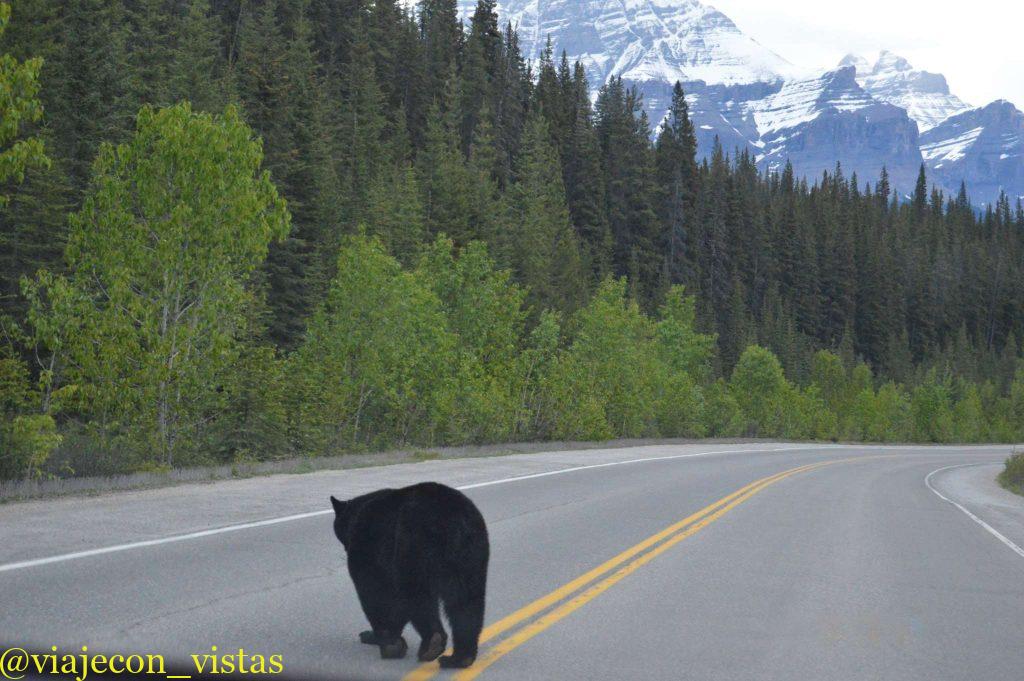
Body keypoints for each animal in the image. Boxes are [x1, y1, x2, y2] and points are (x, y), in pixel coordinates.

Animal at [330, 482, 489, 669]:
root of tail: (454, 519)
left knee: (417, 596)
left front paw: (381, 639)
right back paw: (459, 658)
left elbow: (374, 592)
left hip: (412, 546)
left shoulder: (368, 548)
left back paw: (431, 644)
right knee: (467, 602)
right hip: (470, 556)